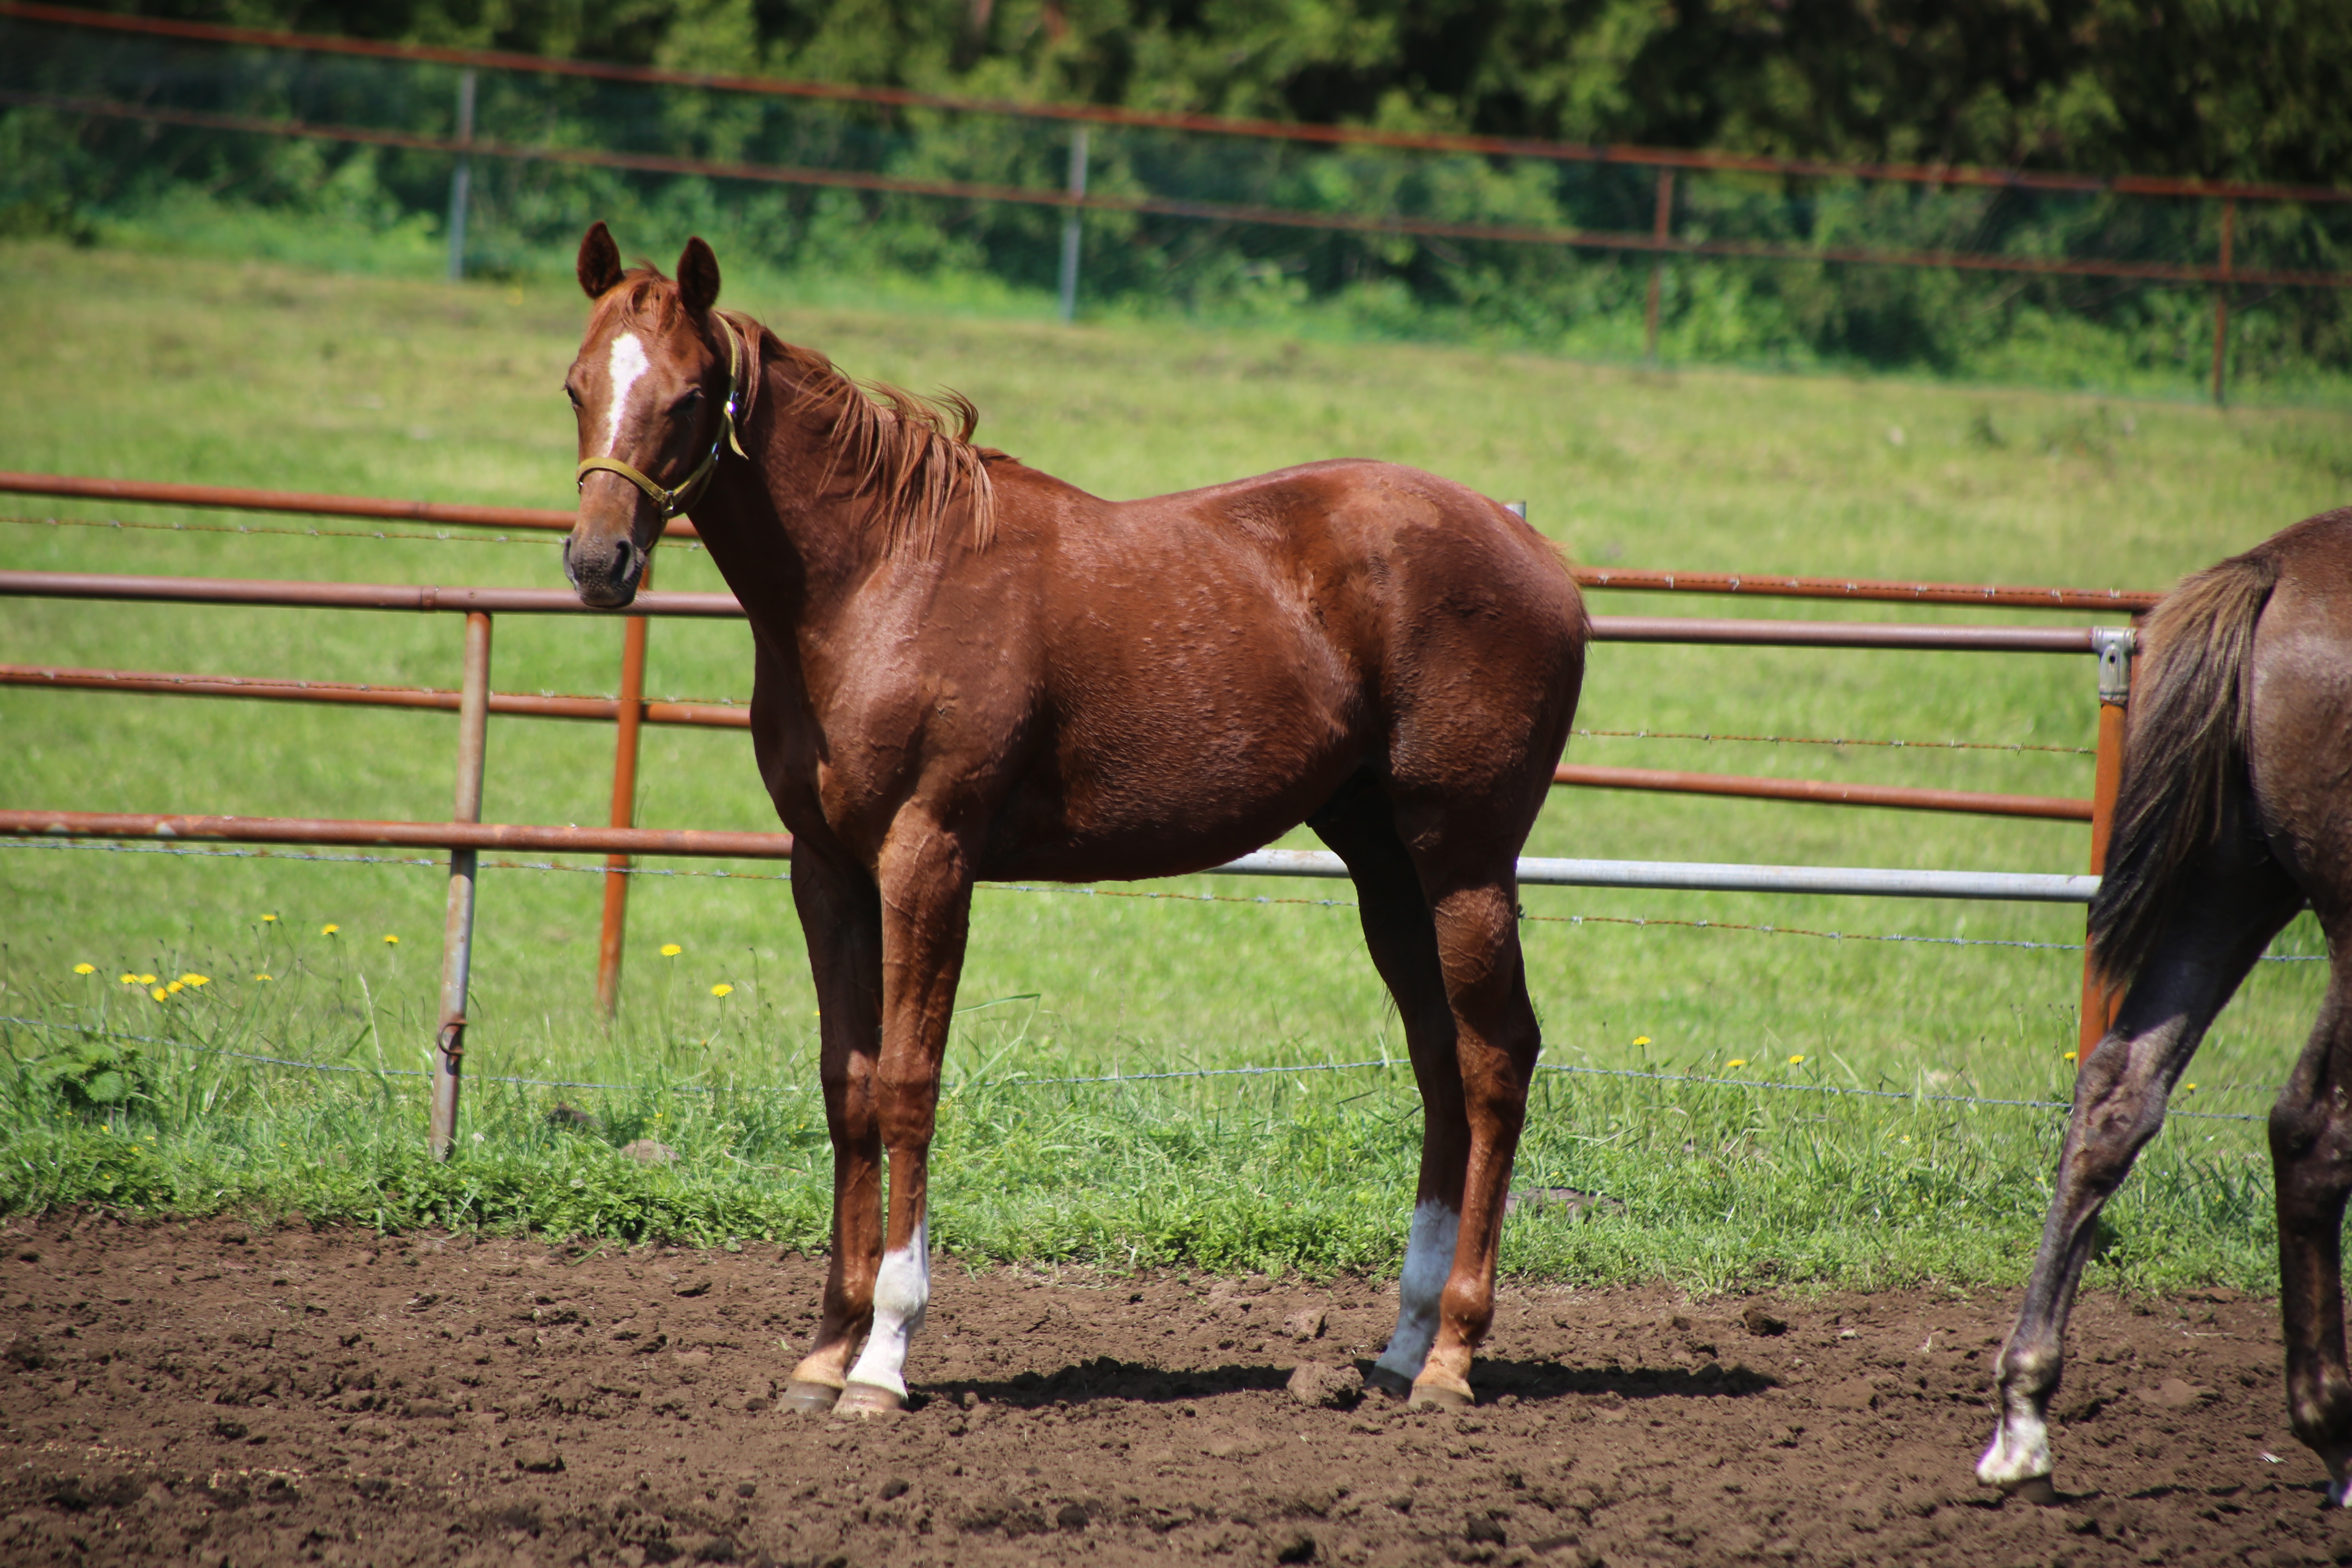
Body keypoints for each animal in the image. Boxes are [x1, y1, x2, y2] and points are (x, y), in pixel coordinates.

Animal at [557, 227, 1580, 1420]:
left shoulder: (928, 858)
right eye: (577, 385)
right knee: (1440, 1064)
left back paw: (1454, 1356)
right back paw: (1401, 1346)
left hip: (1465, 860)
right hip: (1386, 868)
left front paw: (884, 1356)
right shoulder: (827, 869)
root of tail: (1537, 557)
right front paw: (823, 1351)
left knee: (1496, 1061)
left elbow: (907, 1083)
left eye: (687, 396)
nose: (598, 563)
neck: (880, 576)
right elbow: (846, 1086)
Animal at [1985, 510, 2352, 1504]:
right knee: (2312, 1127)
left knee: (2117, 1093)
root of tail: (2276, 565)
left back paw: (2025, 1420)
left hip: (2230, 877)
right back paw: (2336, 1432)